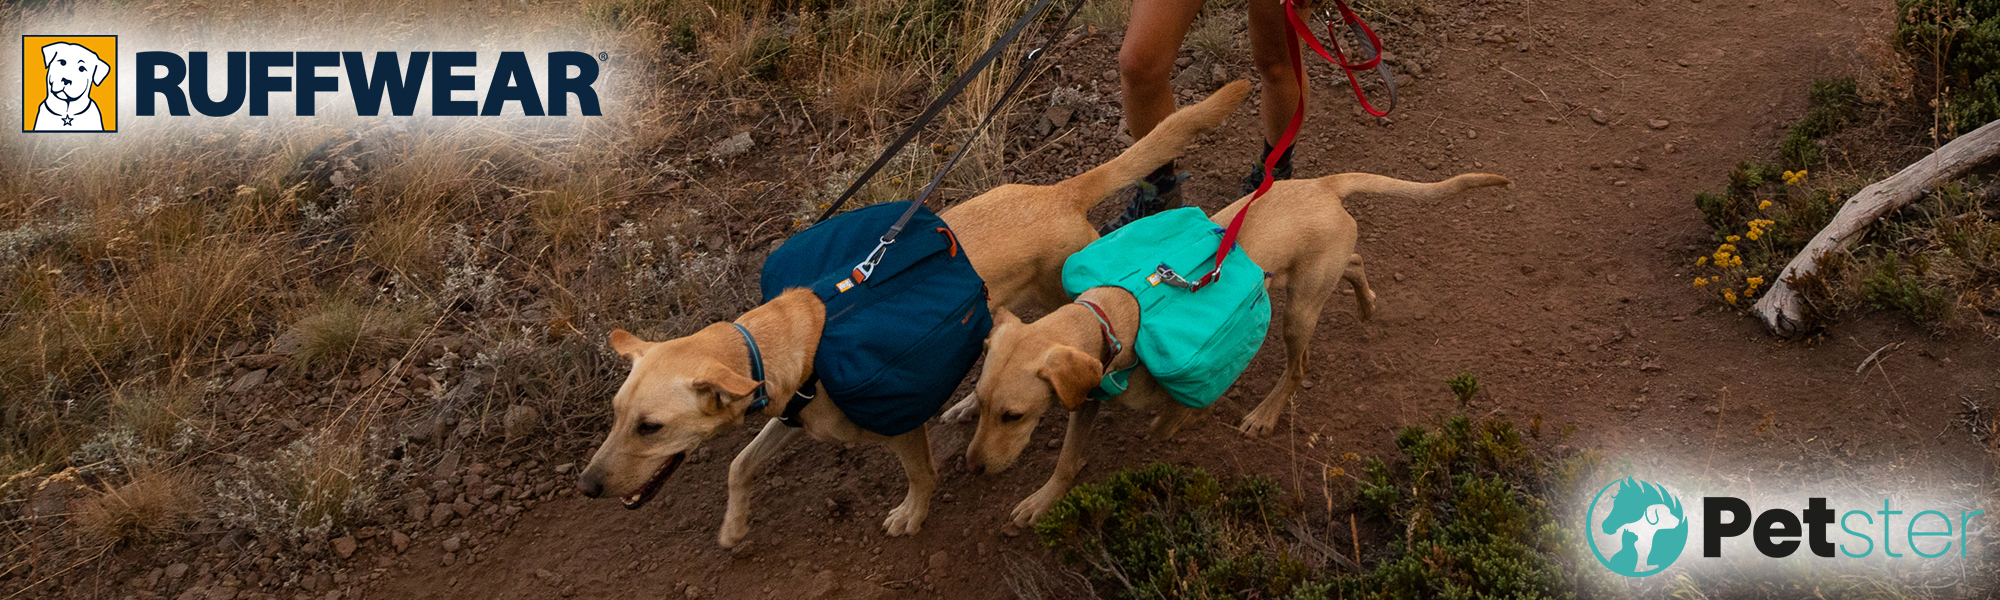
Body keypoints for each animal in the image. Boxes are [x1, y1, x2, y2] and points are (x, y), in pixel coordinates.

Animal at [960, 169, 1504, 524]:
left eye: (1013, 415)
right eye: (980, 405)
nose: (975, 468)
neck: (1113, 316)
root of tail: (1323, 185)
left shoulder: (1179, 389)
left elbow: (1166, 423)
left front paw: (1183, 423)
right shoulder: (1085, 397)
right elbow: (1067, 460)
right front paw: (1042, 501)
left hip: (1298, 311)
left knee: (1299, 366)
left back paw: (1265, 414)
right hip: (1309, 276)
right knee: (1353, 262)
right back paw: (1367, 302)